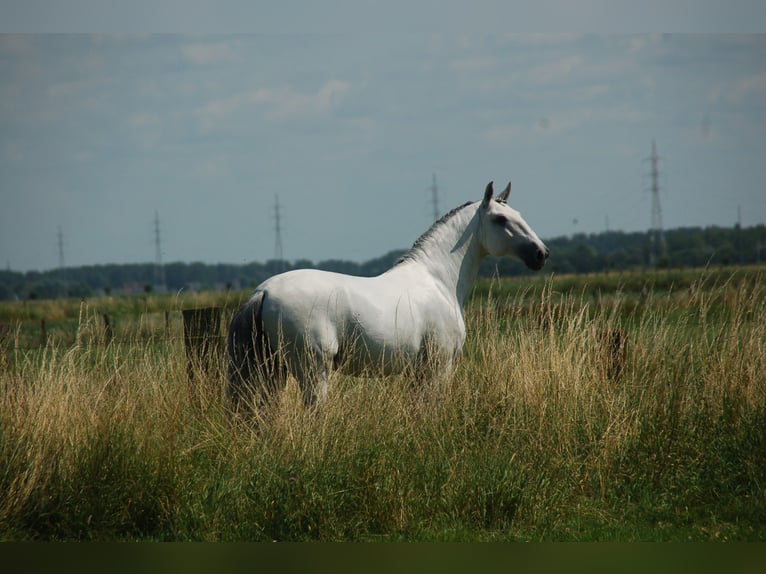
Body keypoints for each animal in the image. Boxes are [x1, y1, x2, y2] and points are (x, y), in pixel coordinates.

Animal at [225, 182, 548, 412]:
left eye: (519, 215)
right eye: (501, 219)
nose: (541, 254)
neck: (437, 280)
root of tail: (264, 291)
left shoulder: (418, 372)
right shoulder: (438, 368)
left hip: (274, 370)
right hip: (312, 370)